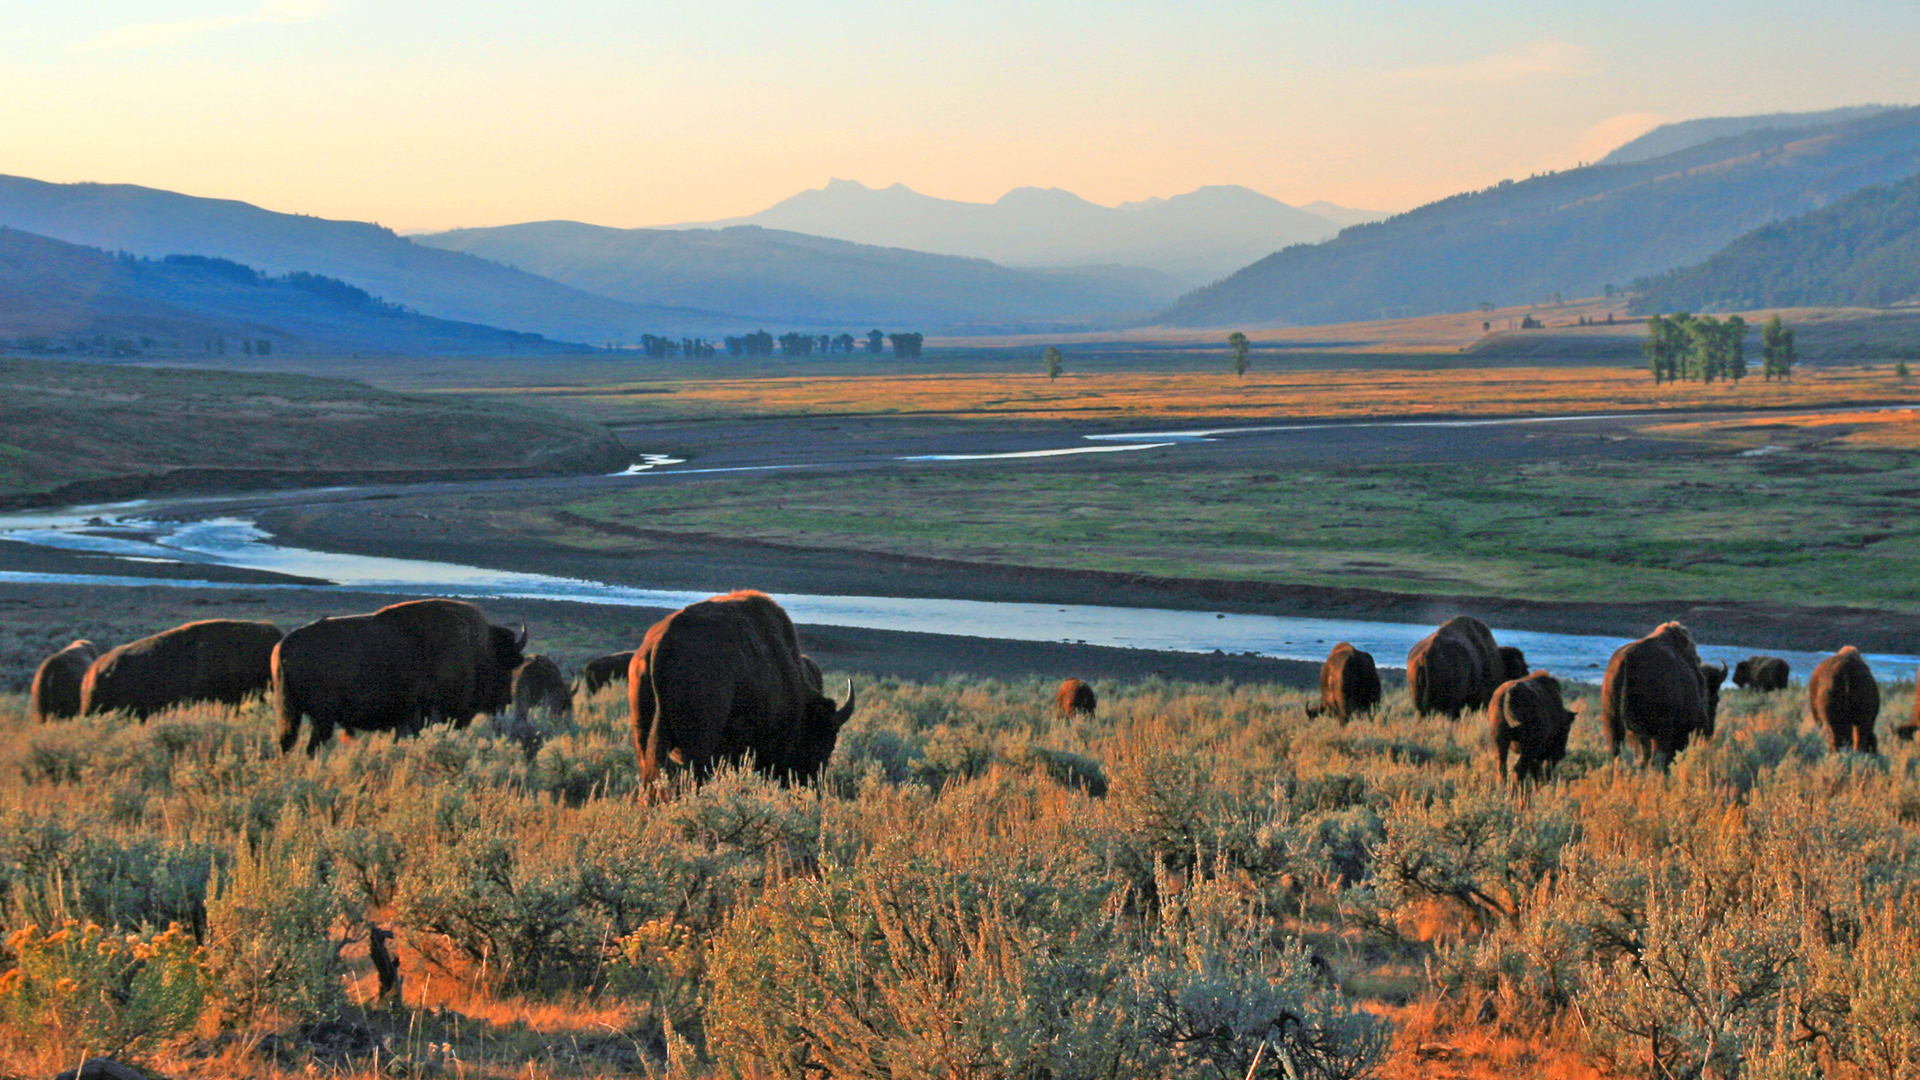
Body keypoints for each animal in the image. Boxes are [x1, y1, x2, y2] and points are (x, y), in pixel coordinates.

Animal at [270, 599, 526, 753]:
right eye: (506, 668)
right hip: (322, 717)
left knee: (287, 742)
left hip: (291, 712)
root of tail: (285, 644)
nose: (506, 701)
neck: (480, 650)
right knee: (312, 745)